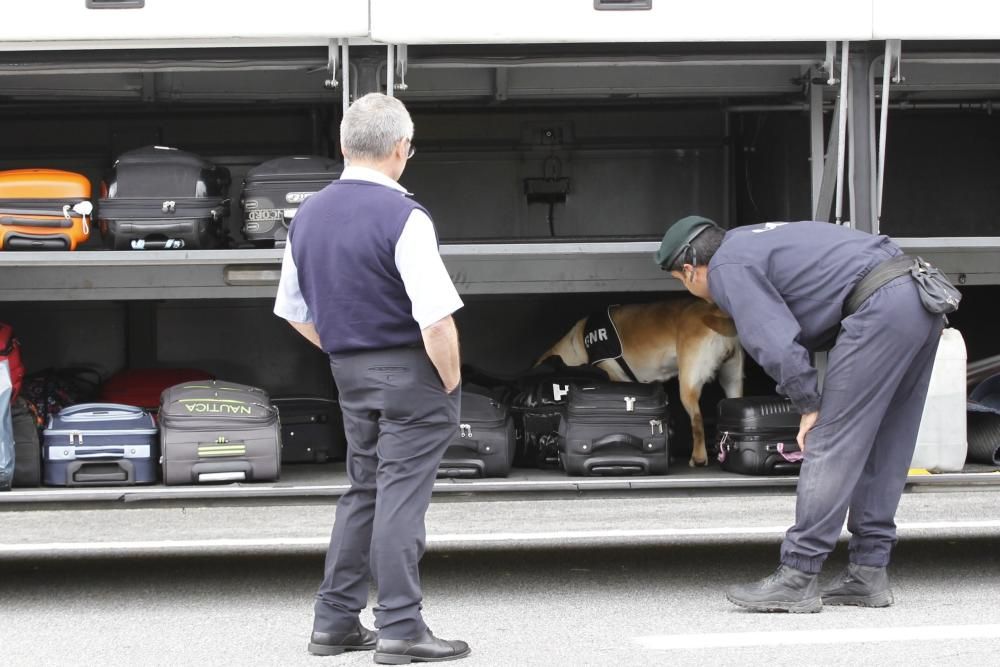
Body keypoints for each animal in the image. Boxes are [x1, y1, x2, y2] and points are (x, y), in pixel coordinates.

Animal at [540, 300, 744, 468]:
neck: (577, 343)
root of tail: (715, 311)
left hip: (688, 386)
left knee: (697, 422)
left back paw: (699, 458)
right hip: (732, 383)